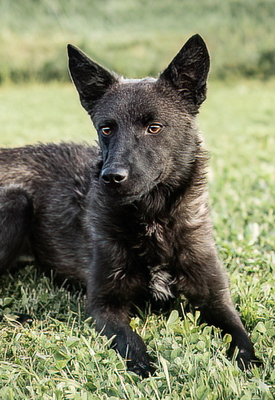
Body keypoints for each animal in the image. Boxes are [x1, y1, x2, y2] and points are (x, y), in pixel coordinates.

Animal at [0, 35, 258, 378]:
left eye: (154, 127)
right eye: (106, 128)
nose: (112, 177)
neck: (153, 220)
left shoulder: (216, 300)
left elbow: (241, 336)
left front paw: (248, 365)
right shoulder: (104, 306)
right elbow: (130, 341)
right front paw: (145, 369)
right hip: (16, 202)